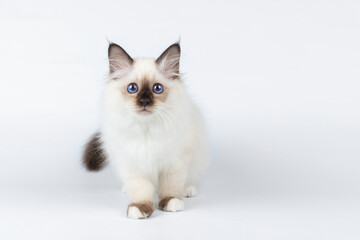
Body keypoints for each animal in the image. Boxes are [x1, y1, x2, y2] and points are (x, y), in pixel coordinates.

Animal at [83, 41, 210, 219]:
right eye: (132, 88)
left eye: (157, 88)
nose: (144, 101)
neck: (146, 129)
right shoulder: (133, 165)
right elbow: (141, 191)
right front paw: (140, 208)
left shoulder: (173, 163)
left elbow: (170, 187)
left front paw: (171, 202)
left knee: (189, 178)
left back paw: (187, 190)